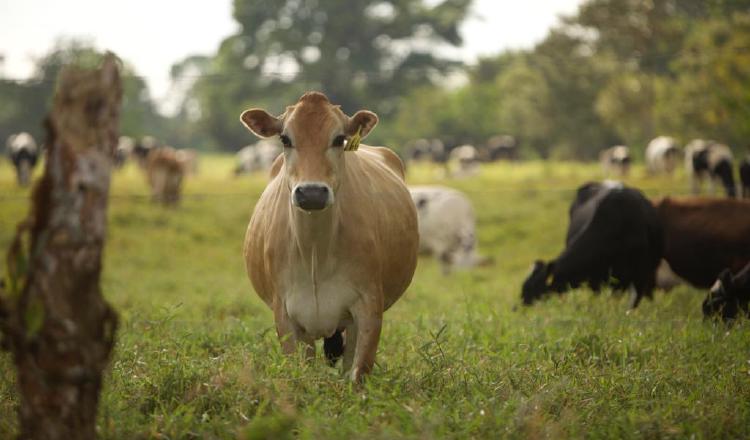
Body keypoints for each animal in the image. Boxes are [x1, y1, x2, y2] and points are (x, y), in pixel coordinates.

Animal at [241, 90, 420, 382]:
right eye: (285, 138)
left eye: (339, 139)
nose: (312, 193)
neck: (316, 249)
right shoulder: (285, 314)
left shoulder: (369, 307)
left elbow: (358, 371)